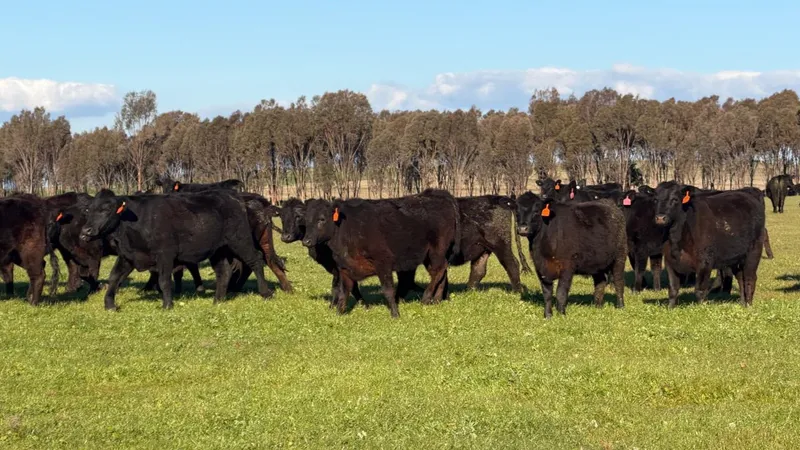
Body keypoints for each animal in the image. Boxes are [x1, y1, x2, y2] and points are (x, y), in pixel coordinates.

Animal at [79, 189, 272, 310]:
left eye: (106, 209)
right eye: (88, 210)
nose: (86, 231)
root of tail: (235, 197)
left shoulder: (165, 255)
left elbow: (164, 280)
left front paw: (167, 305)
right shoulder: (128, 256)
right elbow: (114, 278)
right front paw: (109, 305)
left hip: (240, 240)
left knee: (255, 260)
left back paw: (266, 293)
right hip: (218, 250)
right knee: (224, 271)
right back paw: (218, 300)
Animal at [301, 189, 461, 318]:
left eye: (321, 219)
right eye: (306, 221)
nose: (306, 241)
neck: (348, 230)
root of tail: (438, 194)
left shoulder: (383, 263)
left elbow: (388, 290)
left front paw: (395, 314)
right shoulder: (344, 268)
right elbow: (343, 292)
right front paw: (338, 314)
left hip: (436, 250)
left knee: (437, 272)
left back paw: (427, 298)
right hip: (431, 255)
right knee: (441, 271)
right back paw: (437, 299)